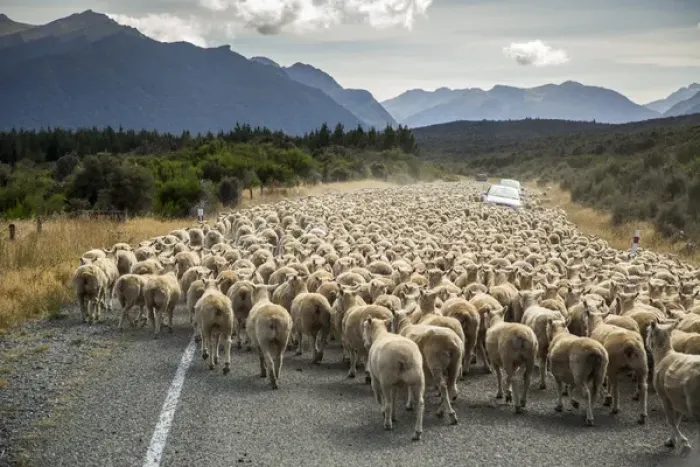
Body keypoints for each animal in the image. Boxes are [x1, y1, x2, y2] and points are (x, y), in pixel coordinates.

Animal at [646, 320, 700, 454]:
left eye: (648, 333)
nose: (647, 346)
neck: (663, 355)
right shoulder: (677, 400)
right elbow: (676, 421)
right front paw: (672, 441)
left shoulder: (664, 397)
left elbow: (670, 421)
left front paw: (684, 442)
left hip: (694, 404)